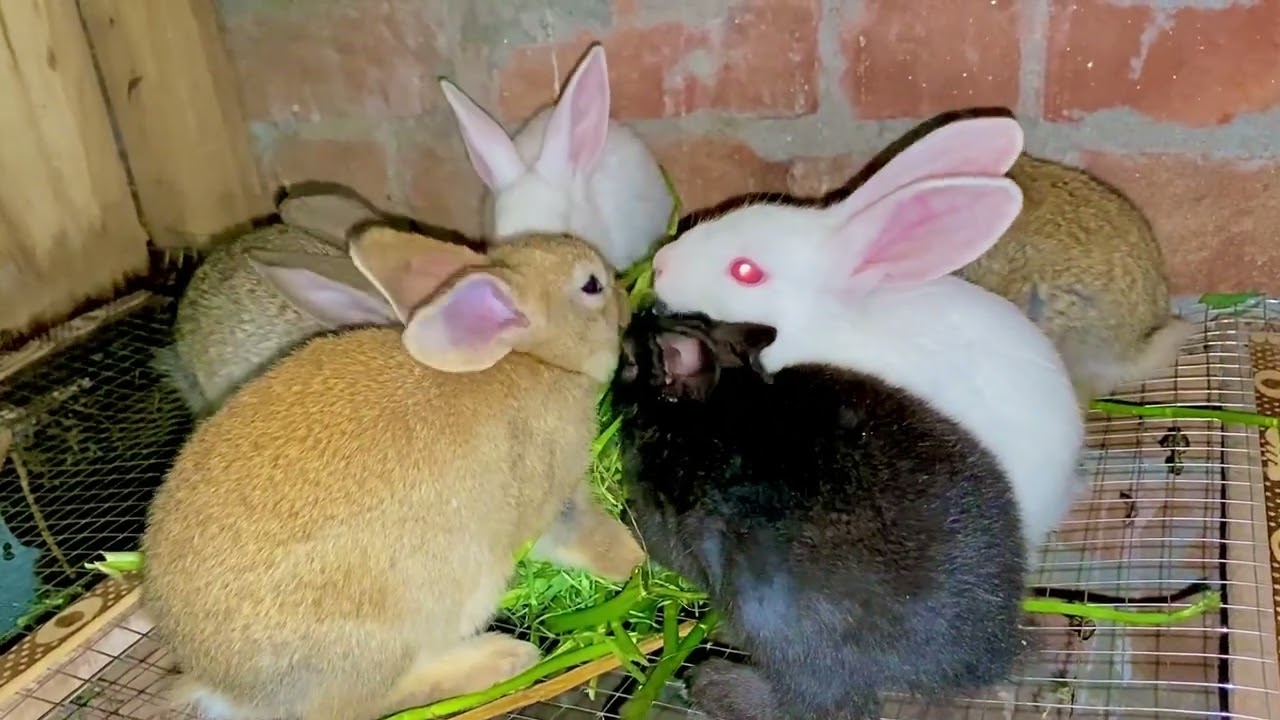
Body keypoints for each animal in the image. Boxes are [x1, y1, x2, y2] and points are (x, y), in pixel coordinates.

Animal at [141, 225, 645, 720]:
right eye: (591, 285)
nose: (624, 296)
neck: (530, 359)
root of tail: (223, 688)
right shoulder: (553, 493)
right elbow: (584, 534)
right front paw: (636, 567)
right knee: (366, 702)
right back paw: (502, 657)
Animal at [612, 309, 1030, 720]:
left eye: (630, 361)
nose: (629, 327)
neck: (722, 407)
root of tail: (989, 649)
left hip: (767, 618)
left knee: (813, 704)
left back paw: (707, 683)